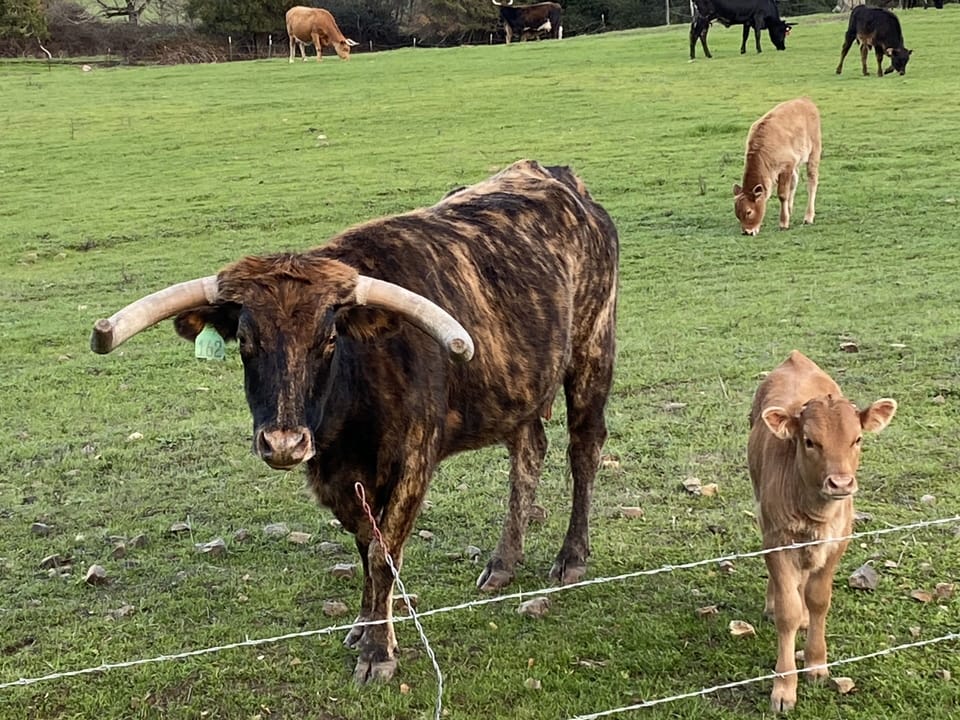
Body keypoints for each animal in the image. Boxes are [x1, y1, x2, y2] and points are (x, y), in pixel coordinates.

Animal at [89, 160, 619, 684]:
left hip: (593, 352)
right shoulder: (339, 478)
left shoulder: (413, 463)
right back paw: (503, 563)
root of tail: (560, 177)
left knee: (583, 449)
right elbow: (366, 547)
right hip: (522, 389)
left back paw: (571, 557)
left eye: (328, 341)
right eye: (245, 341)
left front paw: (378, 652)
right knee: (528, 452)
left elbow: (385, 556)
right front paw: (364, 625)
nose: (283, 443)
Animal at [733, 97, 821, 236]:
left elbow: (782, 194)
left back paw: (808, 217)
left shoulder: (786, 167)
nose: (747, 232)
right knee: (795, 181)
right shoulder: (789, 166)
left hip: (814, 152)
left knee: (812, 182)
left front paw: (783, 223)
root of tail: (805, 100)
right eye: (737, 214)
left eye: (749, 212)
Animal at [748, 350, 897, 712]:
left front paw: (816, 664)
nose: (840, 483)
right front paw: (784, 687)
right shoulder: (776, 539)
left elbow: (818, 599)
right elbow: (786, 611)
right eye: (809, 441)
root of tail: (796, 358)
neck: (814, 513)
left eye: (857, 439)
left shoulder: (838, 541)